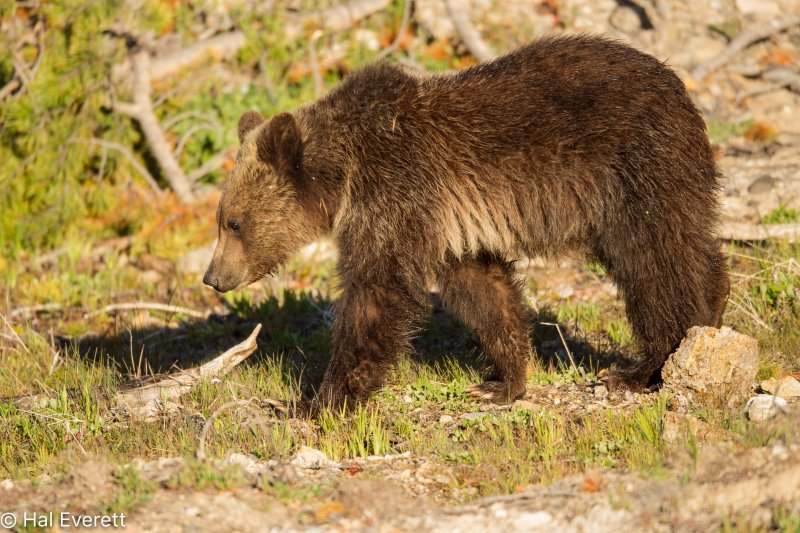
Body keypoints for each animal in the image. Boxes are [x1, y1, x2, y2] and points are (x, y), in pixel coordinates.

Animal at [205, 34, 732, 408]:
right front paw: (503, 380)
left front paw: (321, 399)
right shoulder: (446, 226)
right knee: (691, 247)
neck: (345, 173)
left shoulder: (396, 190)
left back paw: (642, 367)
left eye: (233, 223)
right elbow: (483, 290)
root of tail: (678, 86)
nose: (213, 276)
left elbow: (377, 290)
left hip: (633, 173)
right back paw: (711, 314)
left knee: (653, 263)